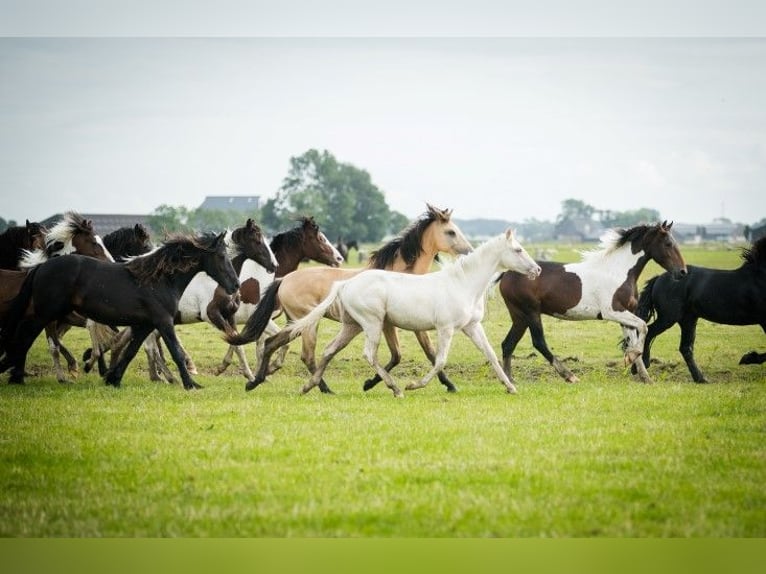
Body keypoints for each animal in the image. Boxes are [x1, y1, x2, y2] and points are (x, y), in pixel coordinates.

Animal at [0, 234, 240, 392]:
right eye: (221, 256)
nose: (235, 285)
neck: (160, 280)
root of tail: (40, 267)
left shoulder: (145, 325)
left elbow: (129, 352)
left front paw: (113, 379)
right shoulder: (164, 322)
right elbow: (176, 352)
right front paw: (191, 384)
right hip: (44, 314)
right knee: (24, 338)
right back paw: (16, 376)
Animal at [226, 206, 474, 396]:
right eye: (451, 232)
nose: (470, 251)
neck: (402, 272)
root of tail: (284, 279)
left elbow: (406, 355)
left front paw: (372, 383)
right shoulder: (398, 324)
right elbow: (421, 353)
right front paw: (449, 385)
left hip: (295, 323)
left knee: (272, 343)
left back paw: (255, 381)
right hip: (308, 324)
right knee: (306, 355)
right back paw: (322, 388)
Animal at [284, 228, 544, 396]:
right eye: (518, 250)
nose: (537, 270)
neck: (463, 284)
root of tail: (346, 283)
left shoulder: (472, 327)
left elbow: (490, 354)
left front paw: (510, 387)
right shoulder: (446, 328)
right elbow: (440, 360)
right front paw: (414, 385)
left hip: (352, 325)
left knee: (329, 350)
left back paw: (309, 386)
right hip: (372, 324)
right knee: (369, 354)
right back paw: (396, 388)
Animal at [498, 223, 688, 384]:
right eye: (668, 244)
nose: (682, 272)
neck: (618, 272)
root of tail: (506, 274)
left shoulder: (625, 315)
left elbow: (634, 339)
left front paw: (645, 377)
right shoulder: (613, 311)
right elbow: (643, 327)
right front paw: (630, 357)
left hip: (520, 316)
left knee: (508, 344)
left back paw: (509, 380)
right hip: (531, 311)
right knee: (539, 342)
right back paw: (569, 376)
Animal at [636, 236, 766, 384]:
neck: (759, 277)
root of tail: (658, 278)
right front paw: (747, 358)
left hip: (688, 319)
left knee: (685, 348)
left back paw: (701, 378)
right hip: (669, 317)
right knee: (649, 332)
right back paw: (643, 366)